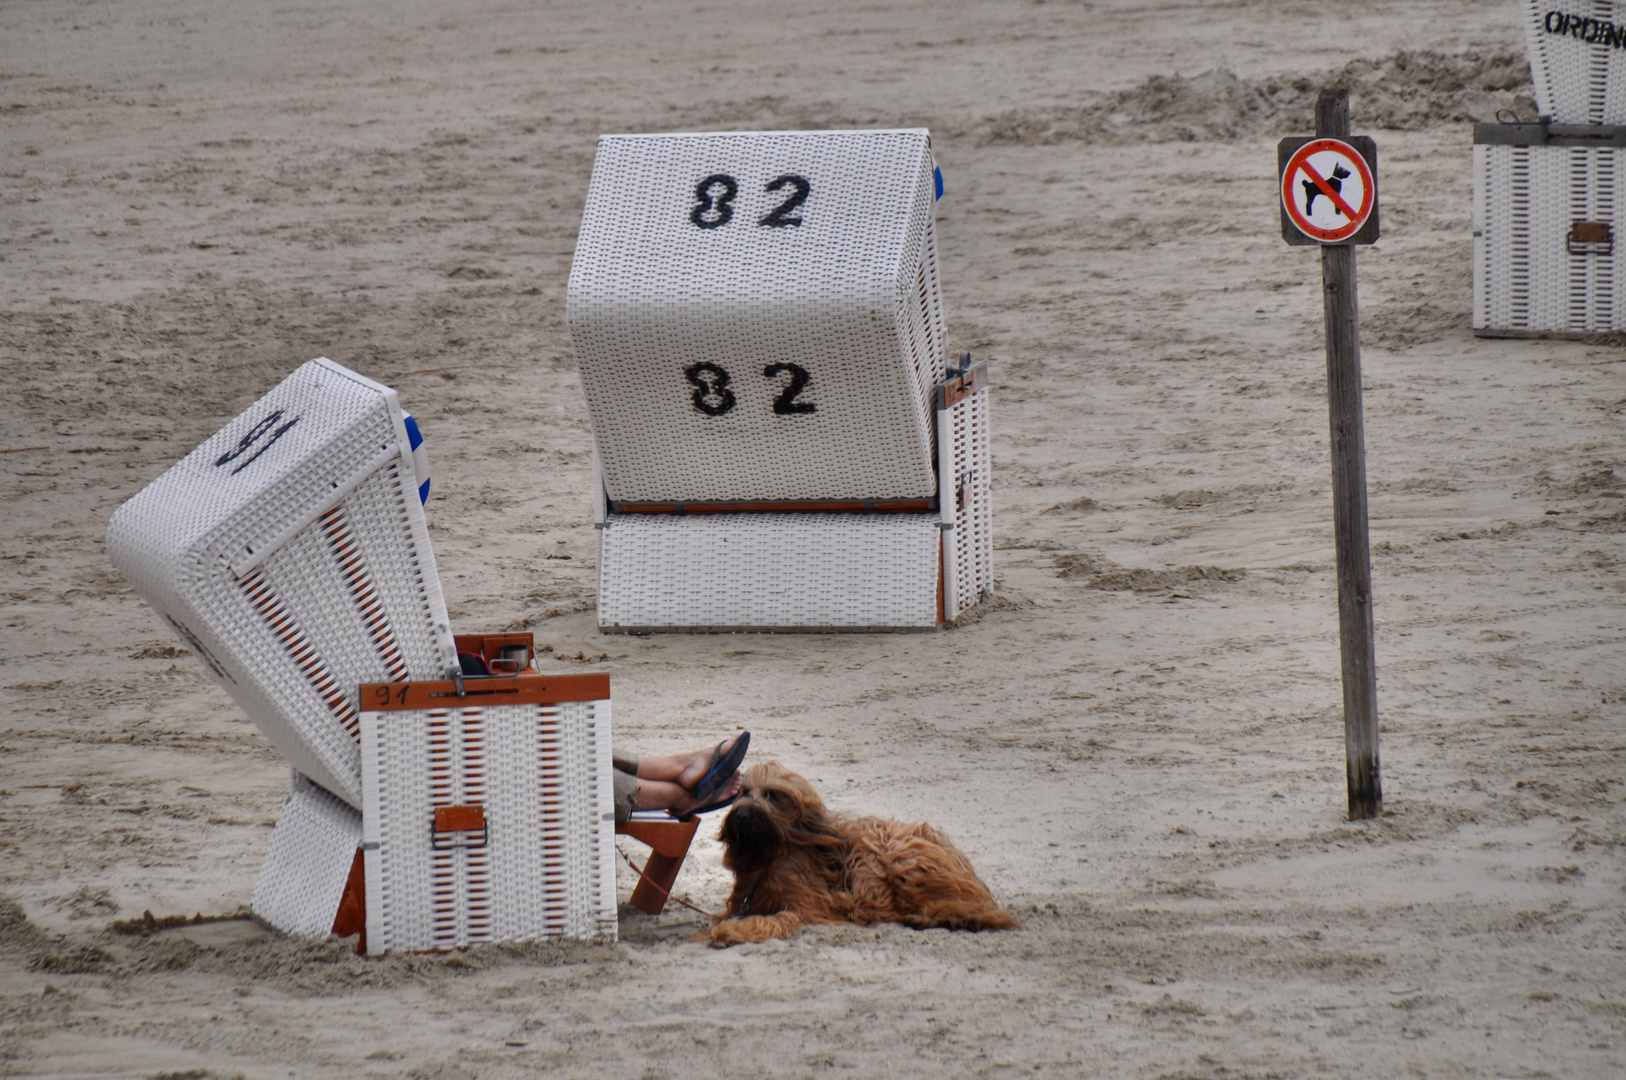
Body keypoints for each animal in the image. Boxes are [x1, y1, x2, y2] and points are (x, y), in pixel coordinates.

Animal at [699, 757, 1014, 943]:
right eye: (743, 793)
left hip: (889, 851)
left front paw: (729, 932)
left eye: (771, 795)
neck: (767, 856)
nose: (742, 815)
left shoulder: (806, 906)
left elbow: (775, 919)